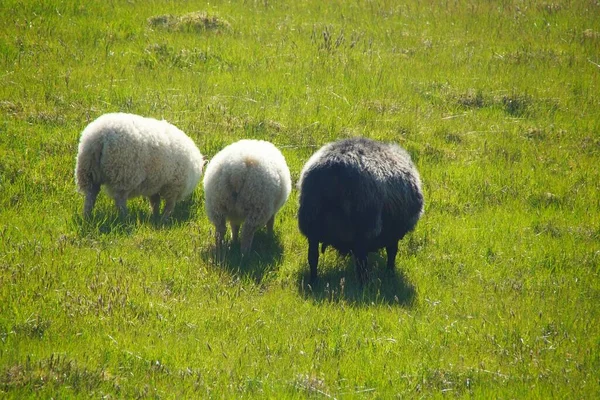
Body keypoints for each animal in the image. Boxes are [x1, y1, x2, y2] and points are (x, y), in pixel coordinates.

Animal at [74, 111, 206, 220]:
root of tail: (99, 137)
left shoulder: (155, 184)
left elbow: (155, 201)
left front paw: (155, 216)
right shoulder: (173, 186)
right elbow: (169, 205)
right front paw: (164, 219)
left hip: (87, 170)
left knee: (90, 194)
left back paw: (87, 216)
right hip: (123, 173)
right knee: (119, 198)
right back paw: (125, 217)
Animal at [298, 138, 424, 284]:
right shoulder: (393, 234)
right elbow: (392, 253)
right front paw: (390, 272)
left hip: (311, 226)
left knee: (313, 257)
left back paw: (313, 281)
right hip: (363, 230)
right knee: (361, 265)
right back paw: (364, 285)